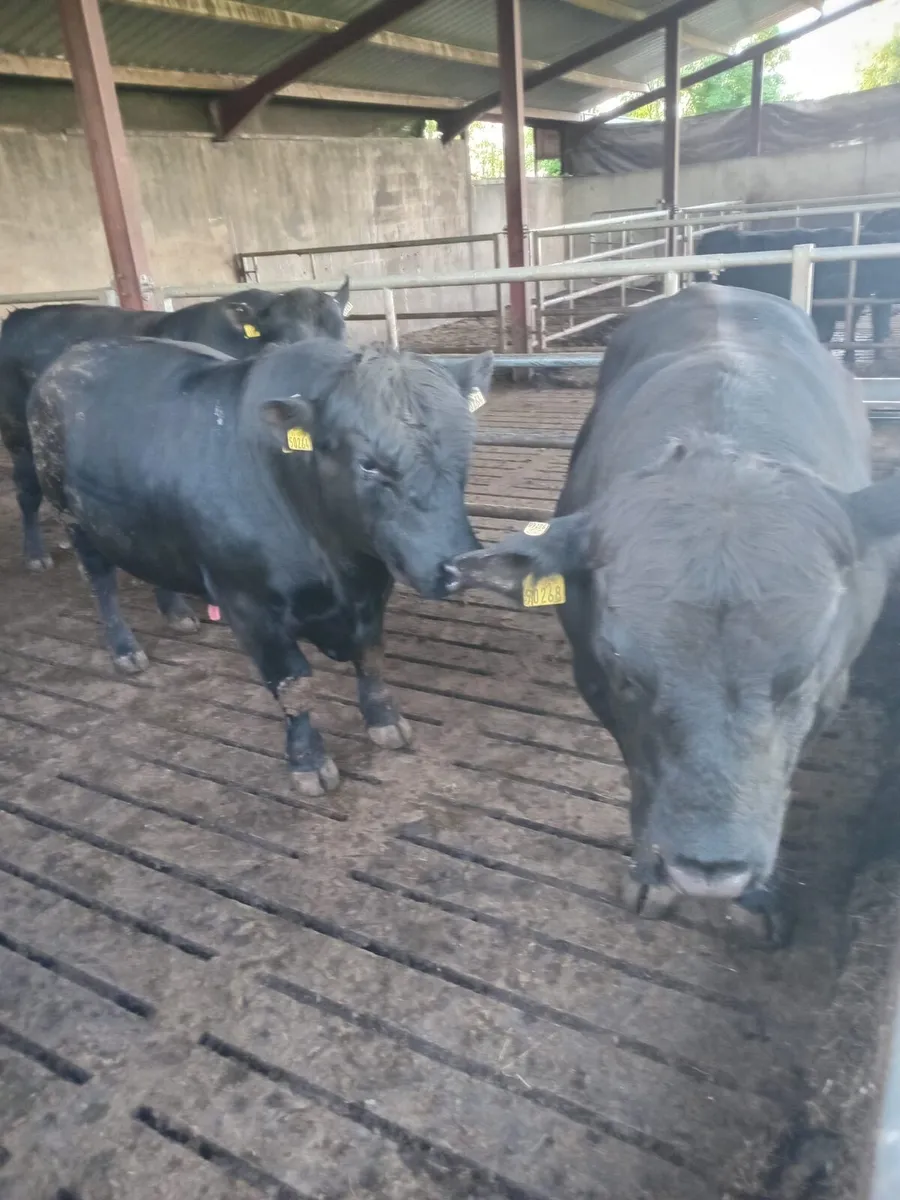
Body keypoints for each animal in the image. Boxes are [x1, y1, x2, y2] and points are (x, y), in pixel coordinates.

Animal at [0, 277, 351, 577]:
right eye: (287, 342)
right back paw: (36, 555)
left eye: (344, 341)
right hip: (19, 434)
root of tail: (20, 316)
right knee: (27, 489)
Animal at [28, 334, 491, 795]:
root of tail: (74, 354)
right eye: (368, 463)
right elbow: (293, 684)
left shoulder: (372, 594)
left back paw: (177, 613)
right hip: (74, 519)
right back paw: (125, 649)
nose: (457, 567)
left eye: (467, 446)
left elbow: (371, 657)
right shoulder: (249, 606)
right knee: (101, 582)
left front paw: (385, 720)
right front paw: (308, 761)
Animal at [447, 284, 900, 945]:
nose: (709, 870)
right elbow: (641, 772)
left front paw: (758, 899)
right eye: (626, 673)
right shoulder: (597, 686)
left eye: (803, 675)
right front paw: (649, 878)